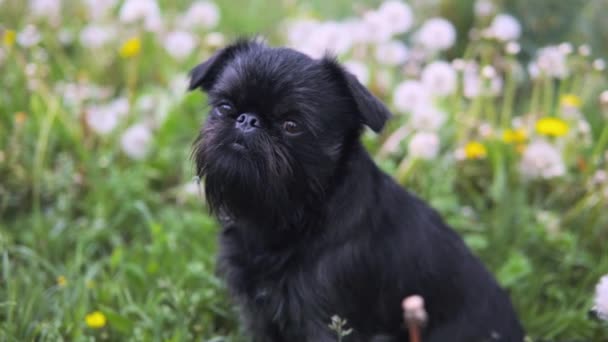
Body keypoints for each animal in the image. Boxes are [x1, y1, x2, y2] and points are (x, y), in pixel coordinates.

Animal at [189, 38, 524, 340]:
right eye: (224, 107)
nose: (247, 120)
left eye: (291, 125)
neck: (290, 217)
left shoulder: (327, 322)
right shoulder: (260, 315)